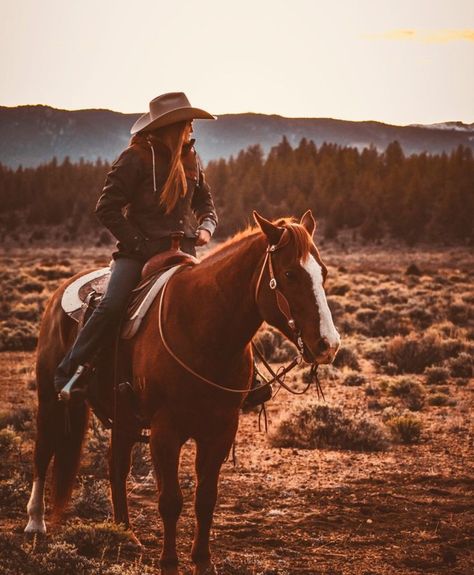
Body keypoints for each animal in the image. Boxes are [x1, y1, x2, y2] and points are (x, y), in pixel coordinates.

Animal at [25, 212, 340, 575]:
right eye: (289, 273)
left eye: (323, 272)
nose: (328, 345)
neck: (204, 330)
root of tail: (60, 292)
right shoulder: (166, 430)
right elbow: (170, 500)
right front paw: (170, 562)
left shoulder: (221, 430)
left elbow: (205, 499)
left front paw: (202, 560)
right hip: (50, 398)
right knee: (43, 451)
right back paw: (35, 523)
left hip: (124, 419)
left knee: (116, 468)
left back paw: (124, 533)